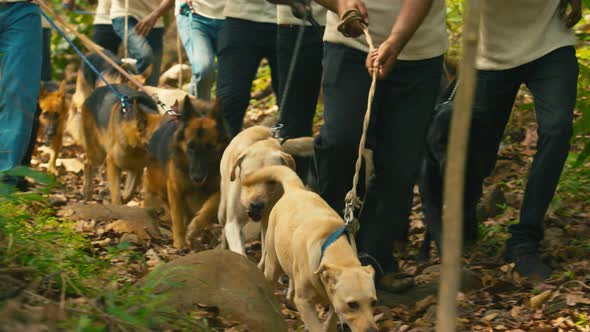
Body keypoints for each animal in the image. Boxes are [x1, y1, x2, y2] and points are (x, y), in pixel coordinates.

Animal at [143, 97, 231, 250]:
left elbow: (210, 206)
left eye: (210, 147)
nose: (197, 178)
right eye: (190, 146)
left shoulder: (219, 188)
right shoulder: (175, 187)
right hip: (160, 184)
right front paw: (179, 242)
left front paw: (195, 227)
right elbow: (177, 215)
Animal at [244, 166, 380, 332]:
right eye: (352, 304)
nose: (372, 331)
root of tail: (295, 188)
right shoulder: (304, 302)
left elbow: (331, 321)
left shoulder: (334, 302)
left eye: (373, 302)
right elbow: (316, 326)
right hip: (273, 264)